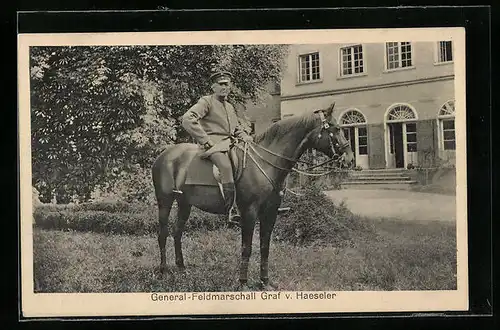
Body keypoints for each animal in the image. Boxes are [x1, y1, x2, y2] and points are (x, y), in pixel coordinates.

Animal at [150, 102, 354, 290]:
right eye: (335, 128)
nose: (349, 158)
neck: (267, 162)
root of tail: (163, 155)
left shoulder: (270, 212)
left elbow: (264, 247)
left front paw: (265, 282)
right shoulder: (249, 212)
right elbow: (246, 248)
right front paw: (243, 283)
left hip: (185, 203)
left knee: (177, 232)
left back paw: (181, 268)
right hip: (164, 202)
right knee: (163, 233)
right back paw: (163, 270)